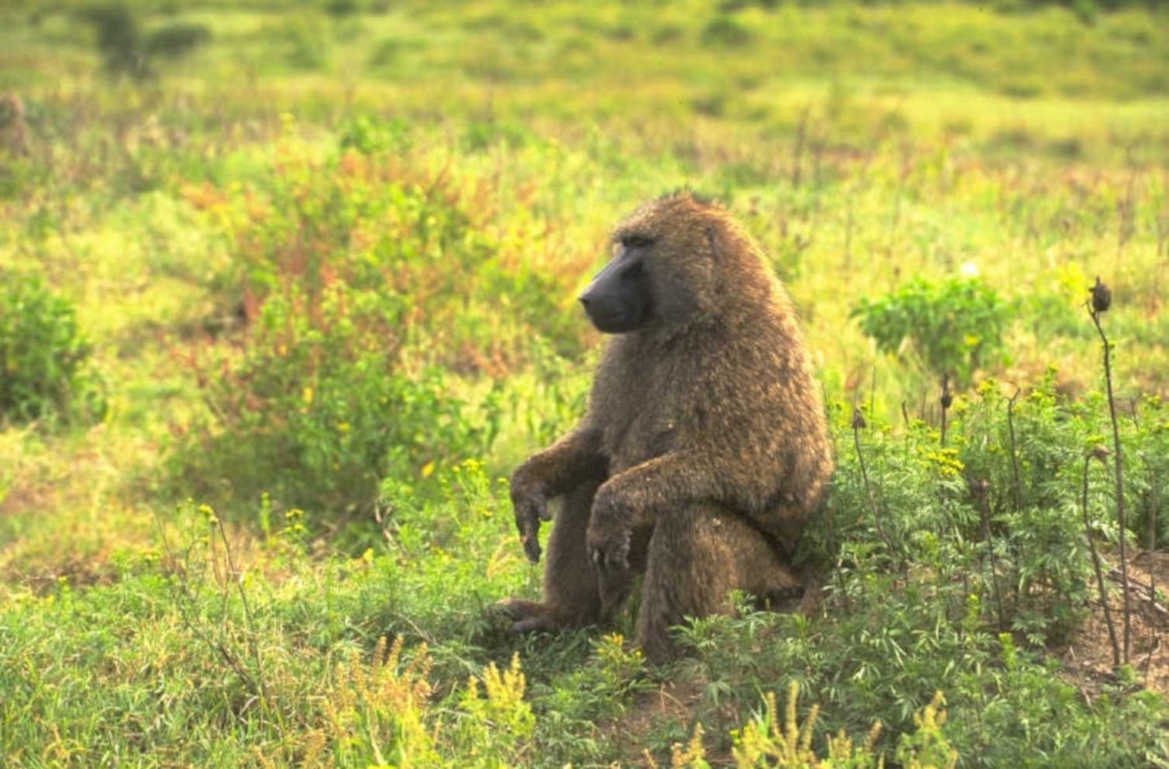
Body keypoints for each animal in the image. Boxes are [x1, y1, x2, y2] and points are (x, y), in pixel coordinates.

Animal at [501, 192, 834, 663]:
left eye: (641, 245)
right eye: (624, 244)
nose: (588, 293)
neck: (694, 317)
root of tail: (797, 573)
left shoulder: (743, 358)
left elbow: (752, 470)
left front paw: (612, 507)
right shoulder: (625, 351)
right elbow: (597, 441)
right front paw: (527, 485)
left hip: (763, 579)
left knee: (689, 516)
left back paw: (658, 658)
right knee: (587, 483)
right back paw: (564, 616)